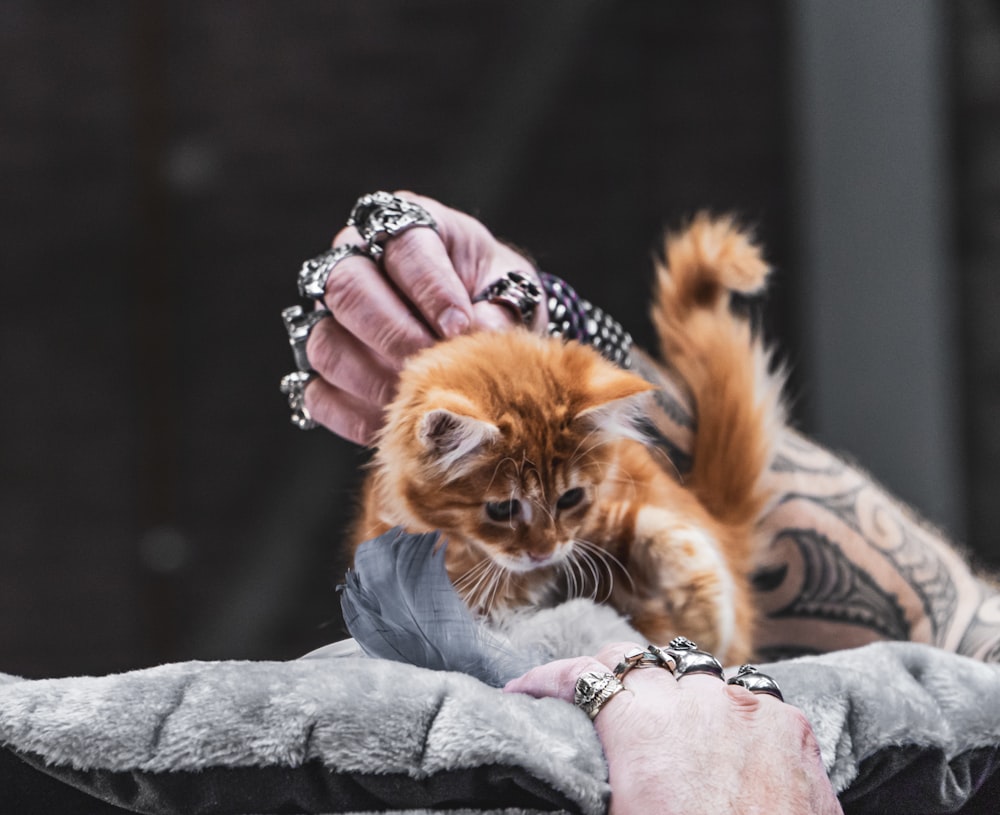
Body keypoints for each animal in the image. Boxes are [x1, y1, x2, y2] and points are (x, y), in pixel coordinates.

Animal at [352, 214, 780, 668]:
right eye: (501, 509)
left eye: (570, 498)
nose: (543, 552)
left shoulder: (603, 520)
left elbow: (651, 530)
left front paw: (706, 619)